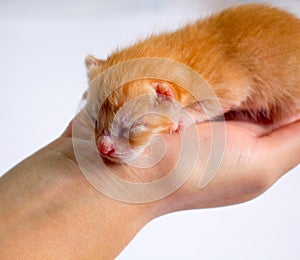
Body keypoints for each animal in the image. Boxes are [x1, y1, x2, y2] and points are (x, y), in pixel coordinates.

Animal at [84, 3, 300, 162]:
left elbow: (214, 104)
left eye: (135, 127)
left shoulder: (230, 85)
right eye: (95, 119)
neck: (181, 54)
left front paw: (182, 117)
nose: (103, 148)